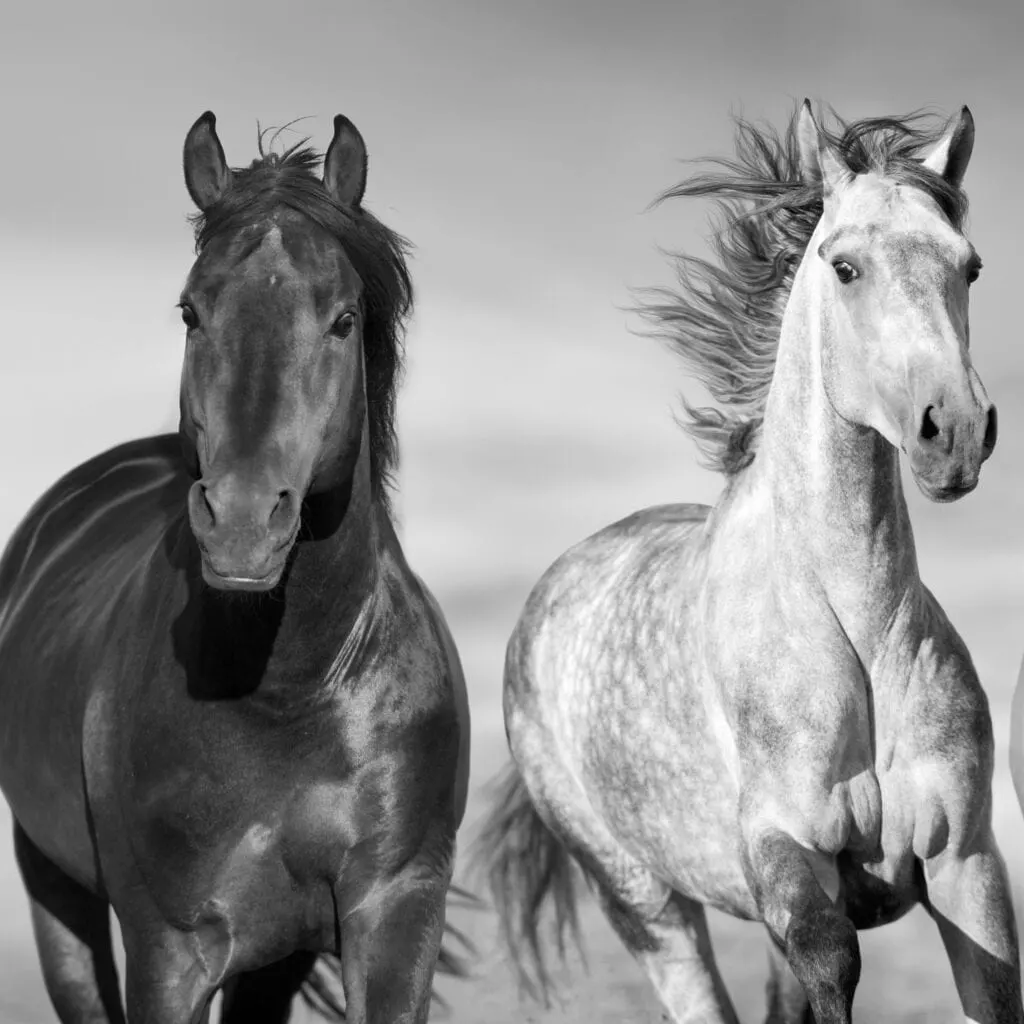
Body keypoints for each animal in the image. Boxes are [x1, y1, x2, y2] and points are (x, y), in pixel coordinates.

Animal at [0, 110, 472, 1024]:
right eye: (191, 311)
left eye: (344, 318)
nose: (245, 525)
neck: (291, 690)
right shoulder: (170, 950)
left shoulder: (397, 913)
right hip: (53, 889)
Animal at [476, 100, 1021, 1024]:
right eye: (845, 266)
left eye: (971, 266)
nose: (952, 430)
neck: (857, 634)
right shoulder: (783, 849)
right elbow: (833, 964)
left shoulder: (965, 860)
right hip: (644, 903)